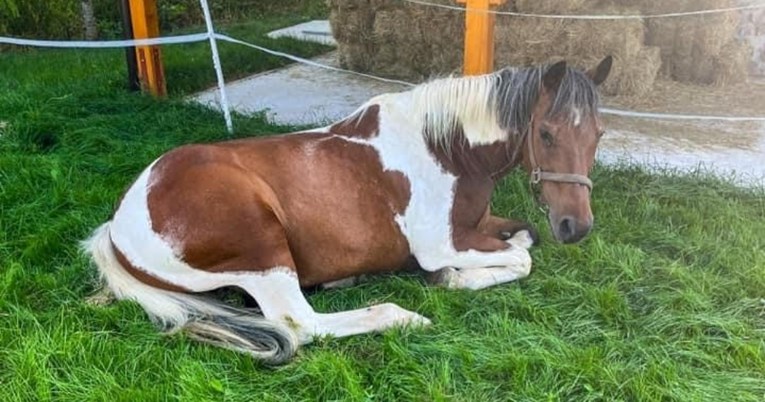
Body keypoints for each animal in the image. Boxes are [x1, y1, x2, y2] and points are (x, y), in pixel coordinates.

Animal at [80, 55, 612, 364]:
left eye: (599, 134)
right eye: (547, 133)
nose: (577, 226)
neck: (446, 150)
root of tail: (118, 224)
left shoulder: (479, 226)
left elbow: (524, 239)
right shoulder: (442, 244)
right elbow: (522, 258)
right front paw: (451, 279)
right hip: (262, 246)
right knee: (300, 323)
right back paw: (399, 316)